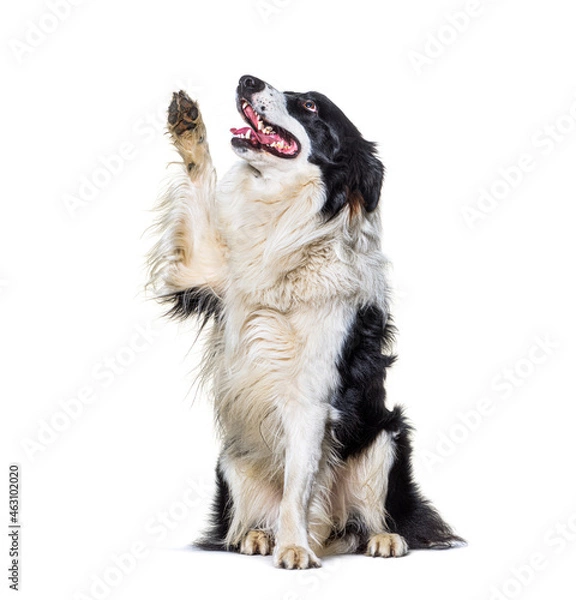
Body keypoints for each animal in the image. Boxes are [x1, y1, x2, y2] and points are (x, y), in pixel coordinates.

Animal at [148, 74, 464, 568]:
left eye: (312, 106)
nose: (247, 79)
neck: (283, 224)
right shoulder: (205, 272)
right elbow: (201, 187)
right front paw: (188, 127)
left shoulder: (310, 397)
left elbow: (298, 483)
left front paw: (295, 548)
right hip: (232, 456)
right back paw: (257, 536)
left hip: (387, 437)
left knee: (370, 516)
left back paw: (380, 539)